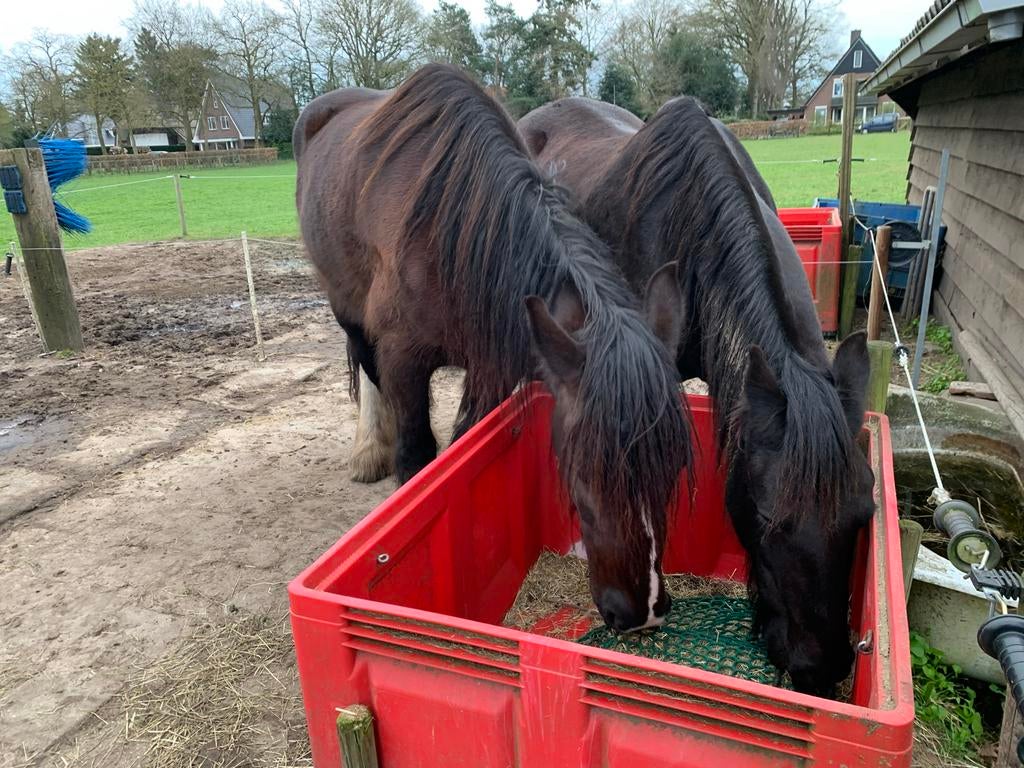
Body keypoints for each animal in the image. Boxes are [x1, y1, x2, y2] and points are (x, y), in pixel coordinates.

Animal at [294, 65, 693, 633]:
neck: (452, 232)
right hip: (344, 304)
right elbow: (418, 462)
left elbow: (463, 451)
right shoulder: (404, 360)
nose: (644, 613)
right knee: (365, 368)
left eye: (673, 464)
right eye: (585, 475)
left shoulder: (490, 366)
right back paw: (371, 448)